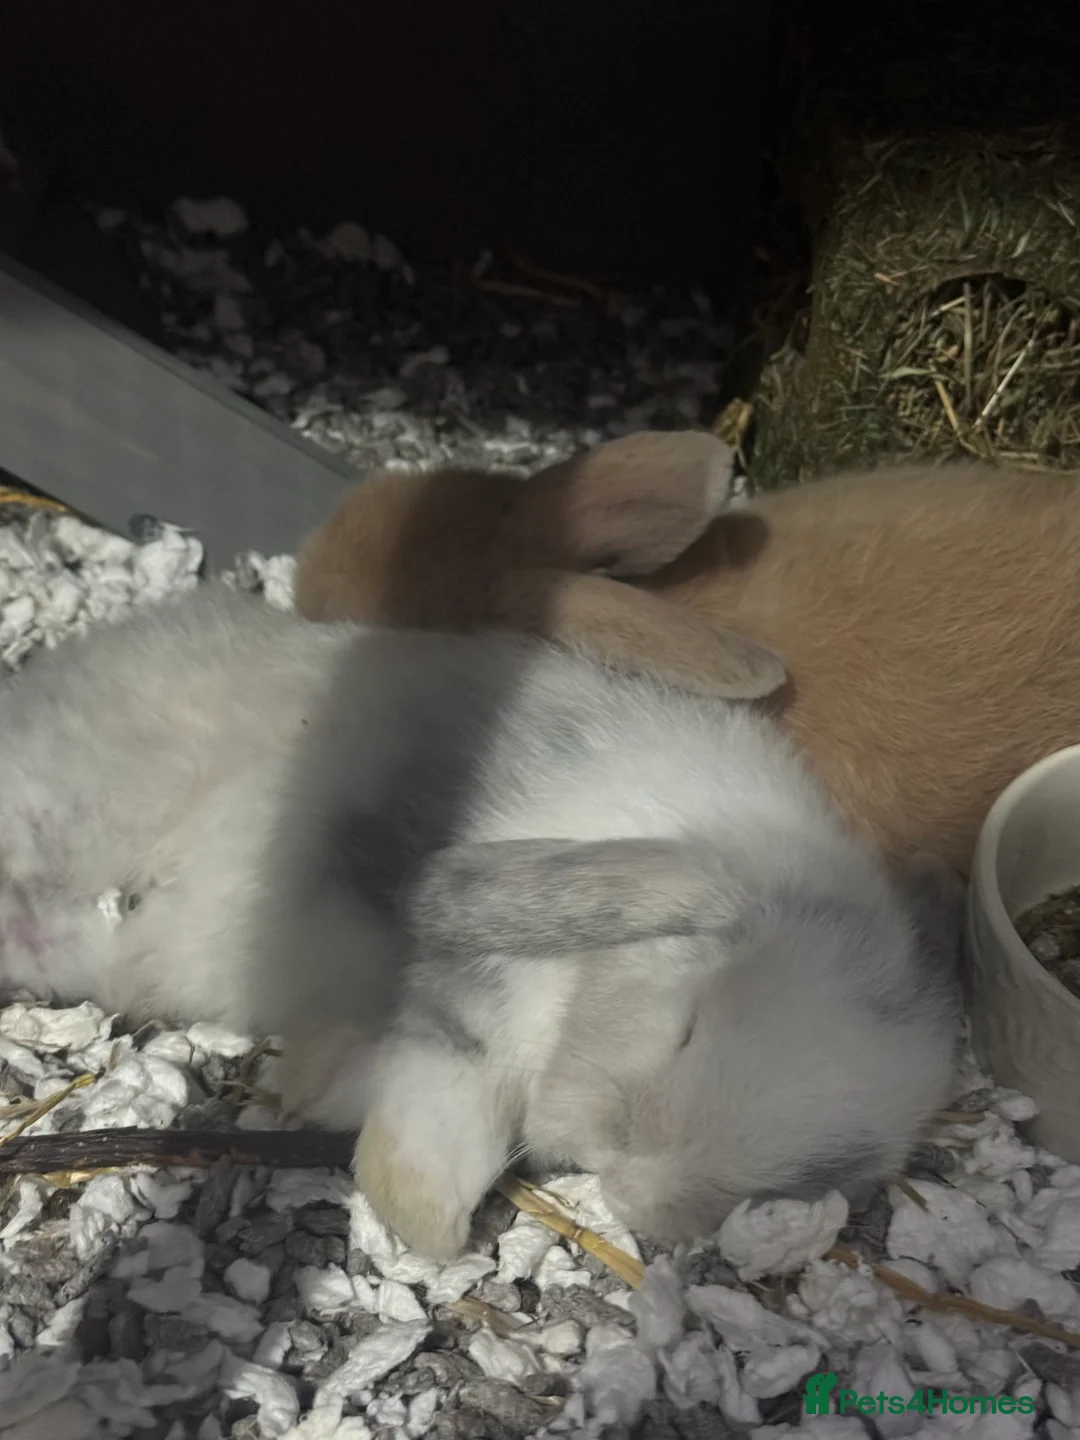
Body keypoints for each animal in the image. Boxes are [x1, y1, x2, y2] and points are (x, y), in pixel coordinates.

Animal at [0, 580, 963, 1258]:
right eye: (689, 1027)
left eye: (802, 1181)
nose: (624, 1181)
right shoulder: (473, 993)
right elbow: (445, 1091)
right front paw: (422, 1225)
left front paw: (315, 1091)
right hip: (84, 799)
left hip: (104, 941)